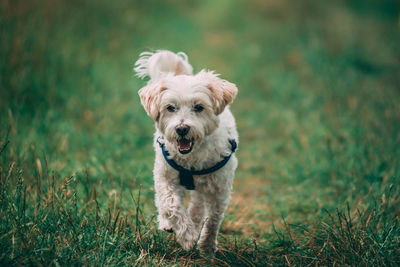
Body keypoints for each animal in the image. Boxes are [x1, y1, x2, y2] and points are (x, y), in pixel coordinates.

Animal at [134, 50, 239, 258]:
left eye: (199, 107)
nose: (182, 129)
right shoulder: (165, 177)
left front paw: (206, 246)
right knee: (164, 202)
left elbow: (213, 219)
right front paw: (186, 235)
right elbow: (170, 204)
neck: (192, 157)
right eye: (170, 107)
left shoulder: (219, 189)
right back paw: (168, 223)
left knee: (198, 207)